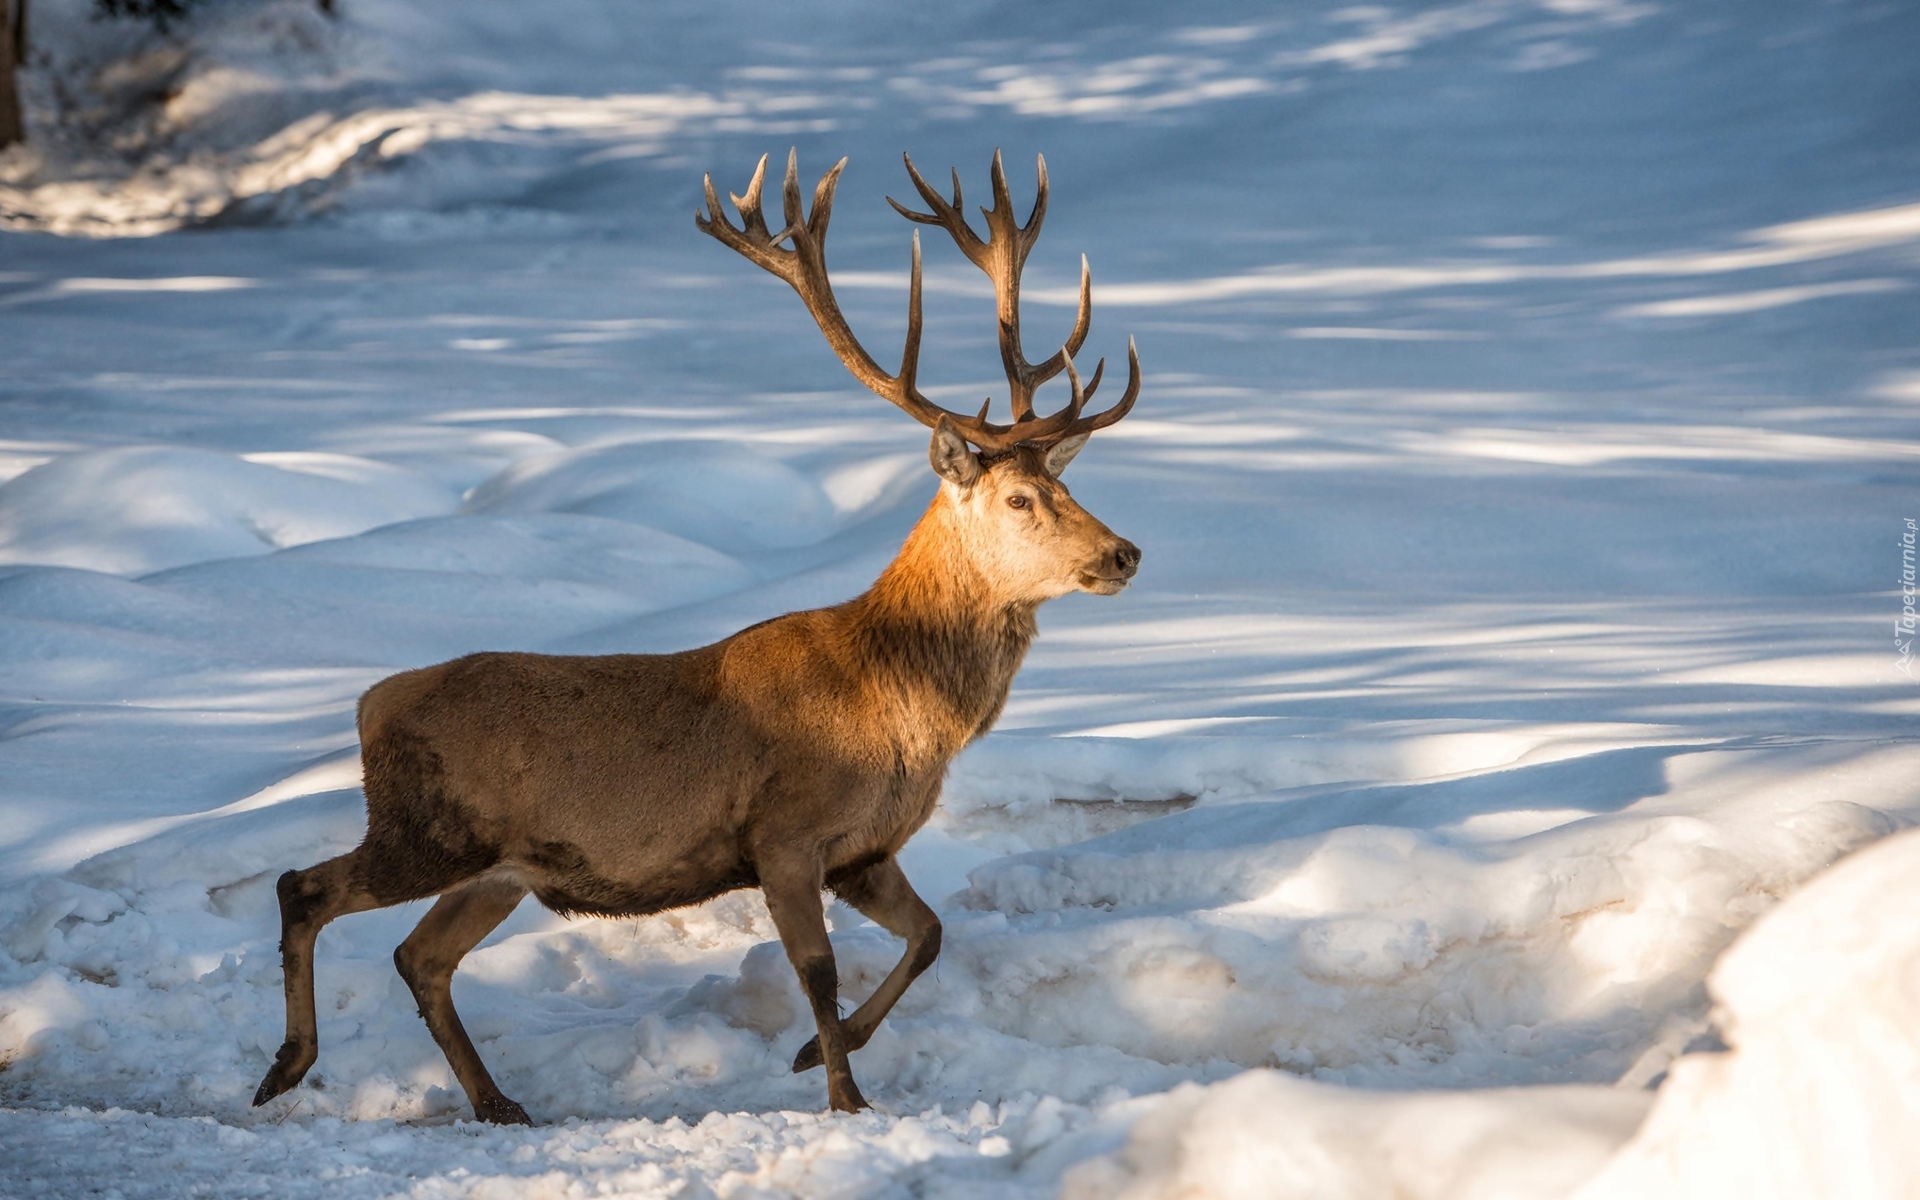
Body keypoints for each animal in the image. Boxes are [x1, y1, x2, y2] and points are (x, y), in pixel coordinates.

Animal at [247, 149, 1128, 1121]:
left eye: (1070, 486)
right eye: (1020, 499)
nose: (1122, 553)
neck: (900, 706)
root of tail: (370, 705)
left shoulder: (865, 850)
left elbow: (930, 934)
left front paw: (815, 1058)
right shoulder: (785, 834)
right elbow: (818, 971)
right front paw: (845, 1098)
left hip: (498, 869)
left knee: (420, 956)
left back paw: (495, 1101)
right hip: (426, 828)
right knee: (304, 887)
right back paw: (288, 1065)